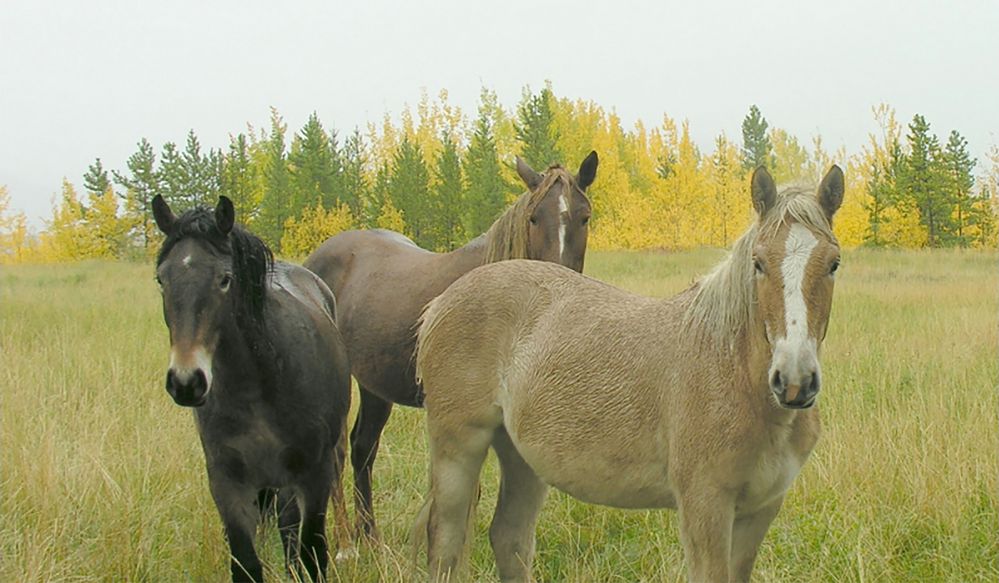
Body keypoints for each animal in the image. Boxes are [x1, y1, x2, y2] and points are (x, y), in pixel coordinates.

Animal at [150, 197, 350, 583]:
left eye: (225, 279)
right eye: (161, 279)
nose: (186, 381)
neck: (259, 389)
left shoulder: (314, 475)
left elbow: (313, 553)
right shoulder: (228, 484)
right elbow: (246, 563)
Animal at [304, 151, 596, 540]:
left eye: (584, 217)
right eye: (534, 218)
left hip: (374, 386)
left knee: (362, 448)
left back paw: (369, 537)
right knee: (334, 455)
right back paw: (343, 541)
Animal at [414, 167, 844, 580]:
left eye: (833, 264)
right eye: (758, 263)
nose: (794, 381)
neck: (733, 373)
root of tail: (442, 301)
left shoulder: (760, 510)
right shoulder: (704, 507)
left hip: (521, 457)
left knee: (509, 540)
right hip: (458, 448)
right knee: (445, 544)